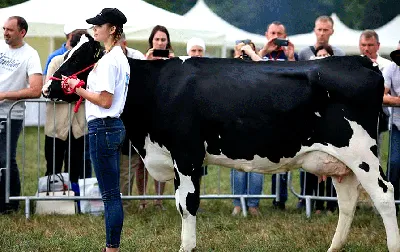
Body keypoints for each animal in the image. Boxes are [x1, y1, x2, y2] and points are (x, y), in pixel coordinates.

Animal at [43, 36, 400, 252]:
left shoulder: (186, 154)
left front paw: (187, 246)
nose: (47, 87)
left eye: (83, 56)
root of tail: (363, 62)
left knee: (384, 195)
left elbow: (187, 204)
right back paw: (333, 247)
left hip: (362, 153)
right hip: (339, 162)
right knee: (348, 201)